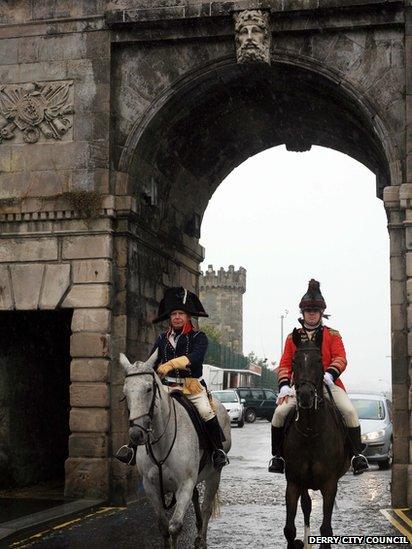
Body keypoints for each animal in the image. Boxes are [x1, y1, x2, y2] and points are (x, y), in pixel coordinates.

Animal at [119, 352, 232, 548]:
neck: (161, 443)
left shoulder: (184, 485)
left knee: (207, 507)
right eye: (126, 392)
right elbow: (163, 527)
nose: (136, 435)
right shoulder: (151, 487)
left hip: (214, 474)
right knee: (197, 498)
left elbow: (175, 526)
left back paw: (201, 539)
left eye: (149, 389)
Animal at [282, 336, 350, 544]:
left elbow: (326, 529)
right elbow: (289, 529)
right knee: (307, 507)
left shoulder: (330, 484)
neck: (311, 431)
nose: (305, 396)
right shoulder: (294, 482)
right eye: (294, 361)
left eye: (319, 360)